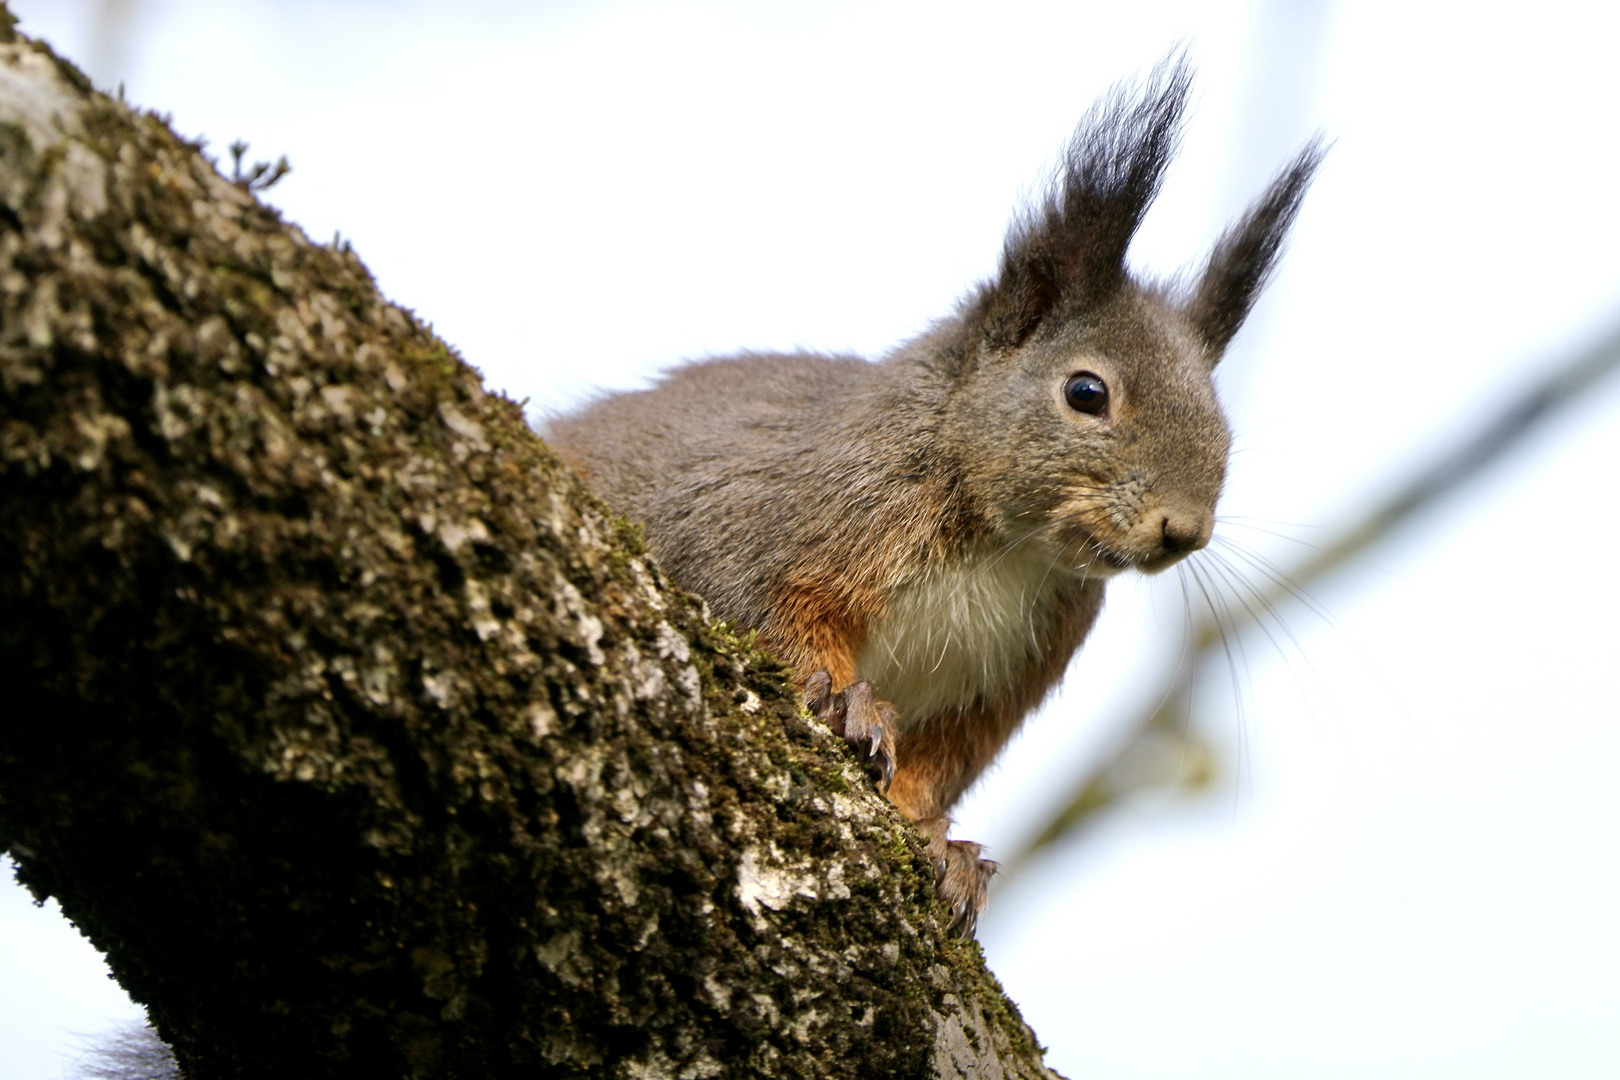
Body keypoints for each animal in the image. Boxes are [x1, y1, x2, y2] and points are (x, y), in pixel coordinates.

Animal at [550, 61, 1321, 939]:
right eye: (1086, 393)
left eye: (1221, 421)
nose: (1184, 531)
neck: (1004, 544)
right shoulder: (782, 511)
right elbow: (756, 603)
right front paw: (847, 703)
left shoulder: (1000, 678)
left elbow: (939, 763)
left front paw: (941, 846)